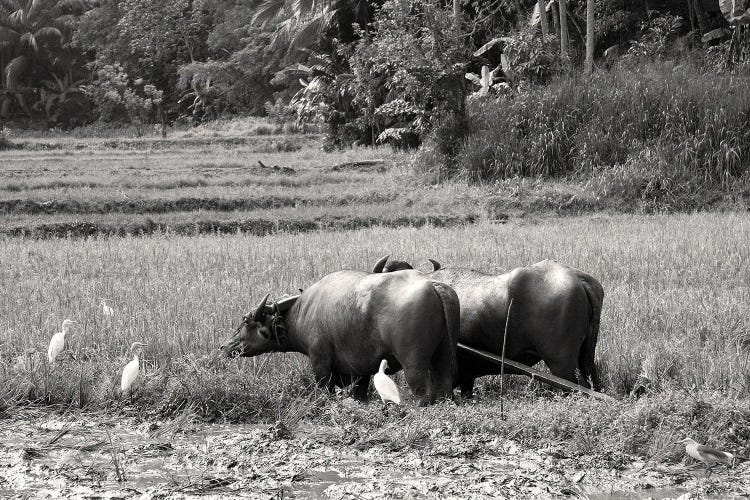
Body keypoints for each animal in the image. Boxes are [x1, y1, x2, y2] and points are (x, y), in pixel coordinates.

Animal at [220, 268, 462, 404]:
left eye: (246, 320)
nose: (224, 347)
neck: (302, 311)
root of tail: (433, 284)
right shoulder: (362, 367)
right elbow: (359, 391)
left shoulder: (319, 361)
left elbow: (324, 387)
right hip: (443, 353)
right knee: (444, 384)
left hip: (413, 362)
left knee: (423, 392)